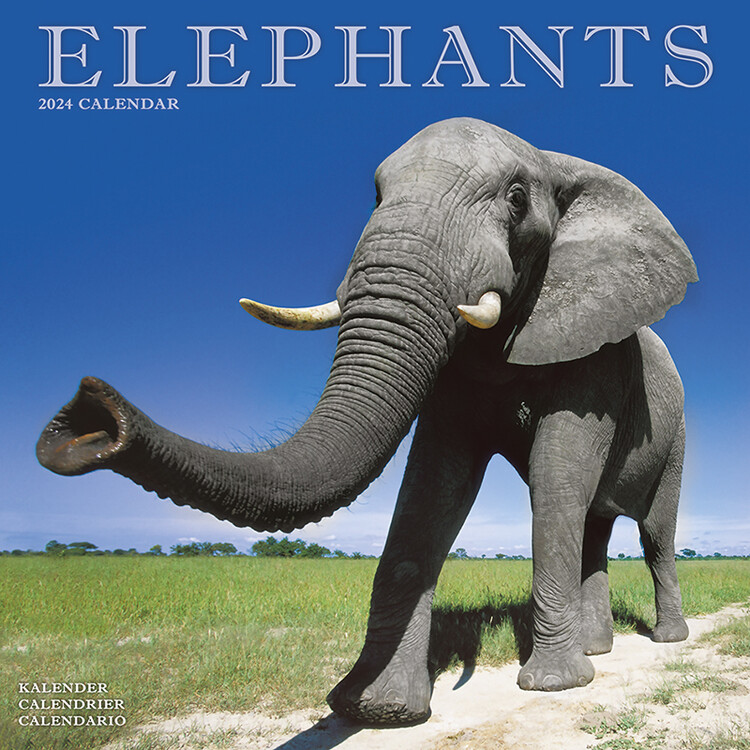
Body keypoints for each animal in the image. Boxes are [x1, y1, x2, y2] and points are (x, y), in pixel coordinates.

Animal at [37, 117, 697, 726]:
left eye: (516, 200)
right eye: (375, 196)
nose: (87, 420)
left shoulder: (598, 355)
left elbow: (555, 479)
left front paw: (553, 686)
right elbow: (433, 488)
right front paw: (375, 708)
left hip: (678, 438)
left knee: (652, 533)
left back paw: (663, 640)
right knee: (596, 527)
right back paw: (600, 650)